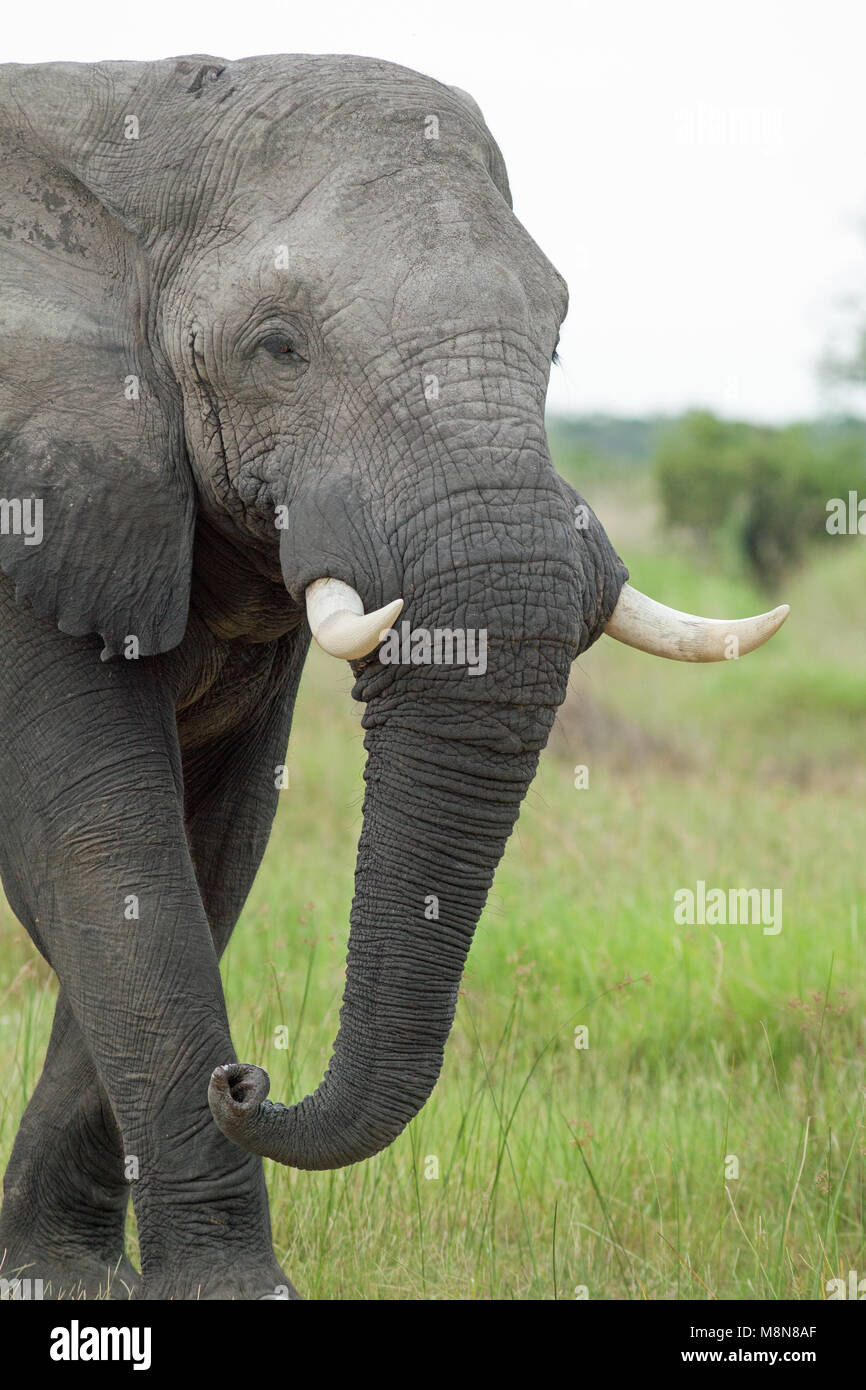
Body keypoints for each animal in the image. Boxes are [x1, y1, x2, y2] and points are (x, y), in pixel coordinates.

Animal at [0, 48, 789, 1295]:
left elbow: (208, 848)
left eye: (554, 339)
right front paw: (221, 1288)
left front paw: (66, 1278)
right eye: (277, 346)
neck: (132, 122)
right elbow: (101, 845)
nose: (247, 1078)